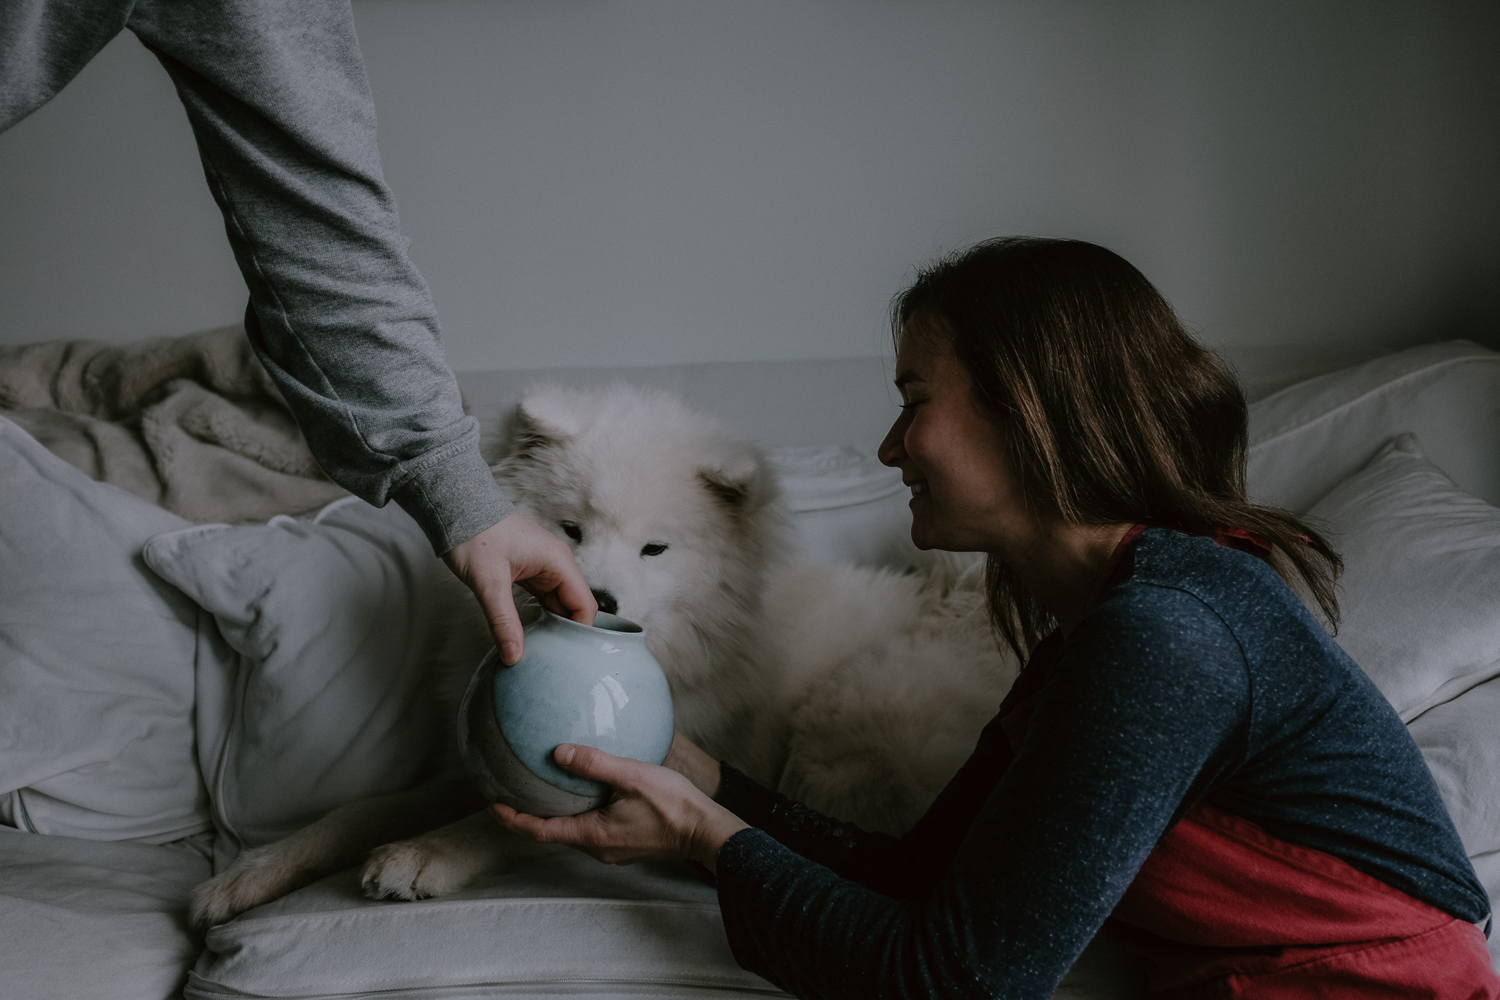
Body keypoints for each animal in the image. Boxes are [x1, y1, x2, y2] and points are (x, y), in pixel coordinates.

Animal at [184, 386, 1008, 929]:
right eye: (571, 529)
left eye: (655, 549)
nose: (601, 600)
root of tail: (964, 604)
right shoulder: (457, 767)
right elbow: (357, 810)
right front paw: (246, 877)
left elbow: (498, 823)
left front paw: (422, 855)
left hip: (842, 720)